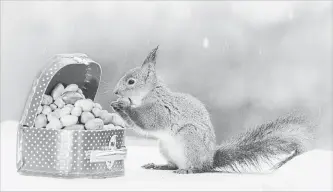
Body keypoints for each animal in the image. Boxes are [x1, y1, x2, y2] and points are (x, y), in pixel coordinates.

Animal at [111, 46, 314, 174]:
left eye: (131, 81)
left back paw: (188, 169)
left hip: (189, 138)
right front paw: (117, 106)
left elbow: (147, 122)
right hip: (165, 147)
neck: (150, 93)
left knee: (197, 168)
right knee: (173, 164)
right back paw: (161, 166)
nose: (115, 92)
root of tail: (210, 161)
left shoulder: (161, 110)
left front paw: (124, 106)